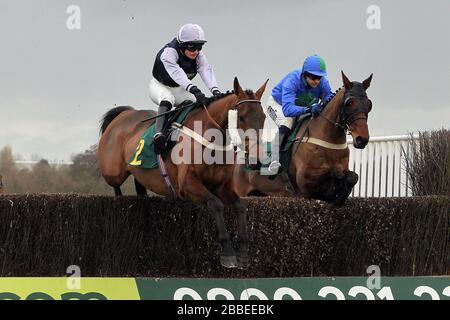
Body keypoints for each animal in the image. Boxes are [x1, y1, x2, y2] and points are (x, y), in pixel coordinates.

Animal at [97, 77, 268, 268]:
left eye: (263, 117)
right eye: (241, 117)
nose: (257, 159)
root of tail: (124, 114)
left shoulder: (221, 186)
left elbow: (240, 206)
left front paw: (243, 253)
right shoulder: (187, 185)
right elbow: (216, 204)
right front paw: (228, 253)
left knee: (139, 186)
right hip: (113, 171)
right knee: (115, 184)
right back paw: (118, 200)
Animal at [236, 71, 372, 206]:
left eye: (369, 104)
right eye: (349, 103)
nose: (362, 139)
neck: (329, 141)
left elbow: (353, 177)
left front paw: (338, 198)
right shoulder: (305, 181)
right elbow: (336, 174)